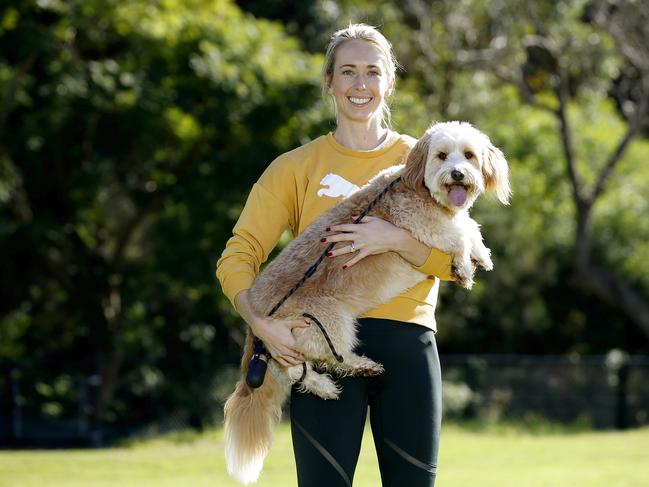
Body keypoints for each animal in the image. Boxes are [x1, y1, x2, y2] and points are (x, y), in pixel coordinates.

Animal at [223, 121, 512, 484]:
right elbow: (460, 233)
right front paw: (463, 265)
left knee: (293, 369)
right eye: (443, 156)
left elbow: (470, 226)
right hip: (329, 323)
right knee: (311, 363)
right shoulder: (428, 230)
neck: (420, 189)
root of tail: (255, 320)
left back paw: (324, 385)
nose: (457, 173)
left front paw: (481, 255)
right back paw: (358, 368)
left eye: (470, 155)